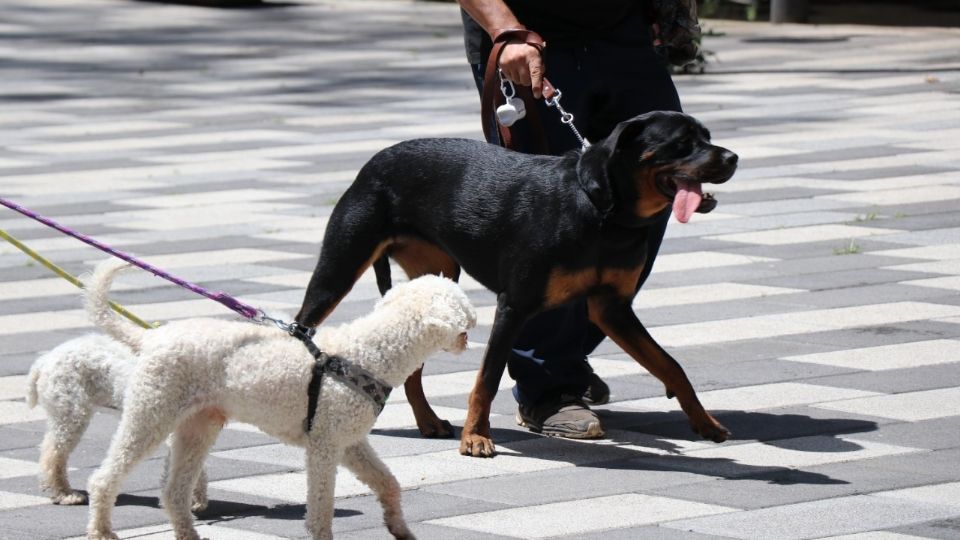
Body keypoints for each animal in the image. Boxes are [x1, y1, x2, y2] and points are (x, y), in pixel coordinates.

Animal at [28, 332, 209, 508]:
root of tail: (45, 360)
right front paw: (192, 500)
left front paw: (194, 499)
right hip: (71, 413)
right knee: (53, 455)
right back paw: (64, 493)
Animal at [83, 260, 476, 536]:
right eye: (464, 306)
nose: (472, 328)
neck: (370, 352)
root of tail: (151, 337)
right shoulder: (324, 446)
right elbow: (321, 508)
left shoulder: (349, 442)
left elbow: (388, 483)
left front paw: (399, 527)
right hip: (151, 412)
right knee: (105, 478)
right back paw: (101, 530)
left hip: (197, 426)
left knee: (174, 492)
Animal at [296, 112, 740, 458]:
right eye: (681, 144)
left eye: (707, 136)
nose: (733, 157)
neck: (601, 210)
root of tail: (374, 160)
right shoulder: (515, 305)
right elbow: (488, 377)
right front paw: (476, 437)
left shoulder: (612, 309)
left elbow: (670, 364)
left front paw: (705, 422)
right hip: (339, 268)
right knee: (302, 328)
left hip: (438, 283)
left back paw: (426, 420)